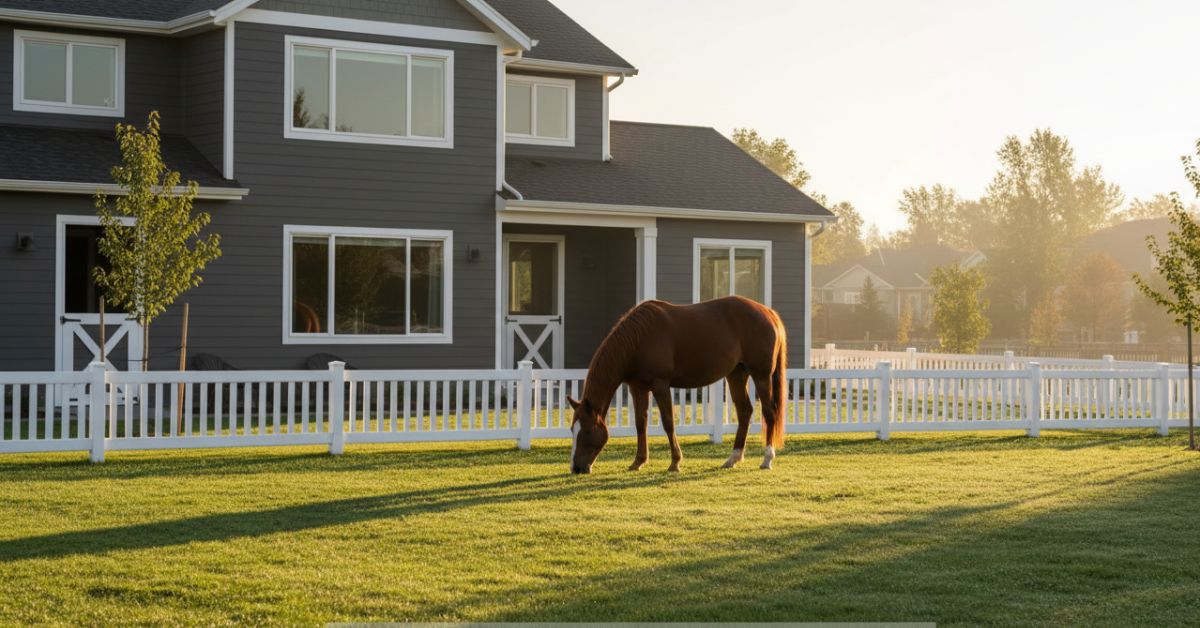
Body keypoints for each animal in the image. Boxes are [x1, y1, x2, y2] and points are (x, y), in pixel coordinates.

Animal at [568, 296, 788, 474]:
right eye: (572, 429)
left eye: (587, 431)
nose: (576, 468)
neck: (638, 339)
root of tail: (768, 313)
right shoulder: (638, 388)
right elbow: (640, 423)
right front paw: (638, 462)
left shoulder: (660, 386)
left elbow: (668, 423)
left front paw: (675, 462)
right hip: (736, 375)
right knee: (745, 412)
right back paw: (733, 458)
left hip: (761, 376)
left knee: (769, 412)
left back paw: (767, 459)